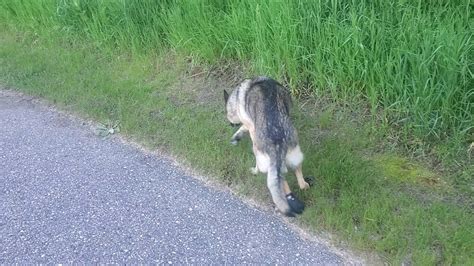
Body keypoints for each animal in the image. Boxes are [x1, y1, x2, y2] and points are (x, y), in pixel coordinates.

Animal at [224, 76, 310, 216]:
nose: (230, 124)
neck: (236, 98)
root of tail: (277, 140)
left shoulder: (251, 127)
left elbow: (244, 127)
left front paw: (237, 135)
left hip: (261, 156)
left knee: (276, 177)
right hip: (295, 154)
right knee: (297, 179)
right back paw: (299, 189)